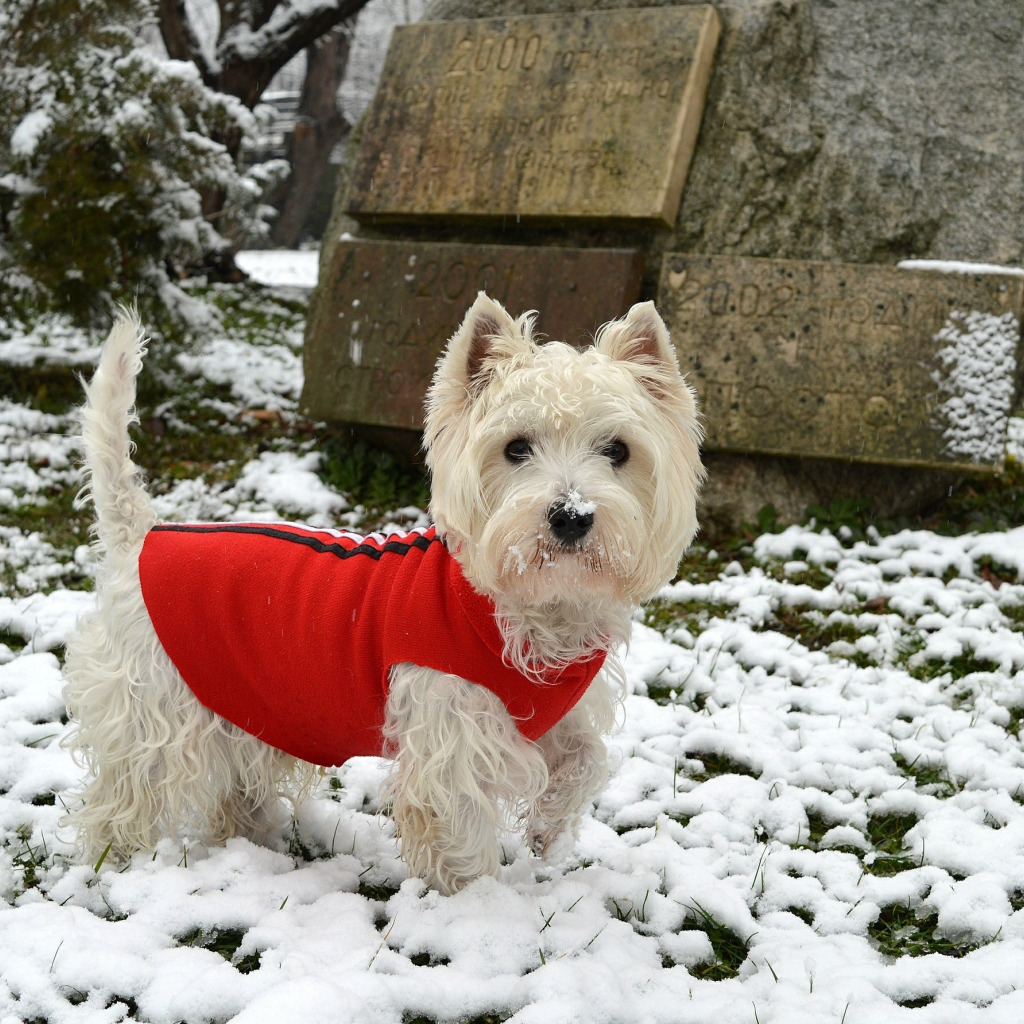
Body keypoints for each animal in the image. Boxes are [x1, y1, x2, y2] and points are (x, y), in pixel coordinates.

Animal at [61, 292, 704, 892]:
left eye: (618, 450)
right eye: (516, 447)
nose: (571, 517)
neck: (521, 611)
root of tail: (144, 535)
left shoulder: (553, 716)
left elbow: (587, 760)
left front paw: (547, 831)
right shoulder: (449, 738)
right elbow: (459, 828)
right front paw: (478, 905)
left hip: (242, 706)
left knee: (234, 790)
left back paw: (251, 842)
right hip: (151, 711)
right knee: (124, 797)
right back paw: (114, 863)